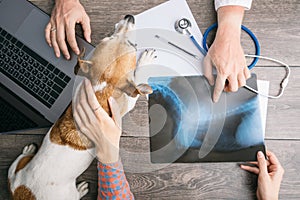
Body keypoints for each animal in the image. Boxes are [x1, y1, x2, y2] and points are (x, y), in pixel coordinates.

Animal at [8, 14, 156, 199]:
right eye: (132, 46)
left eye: (108, 38)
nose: (129, 17)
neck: (103, 85)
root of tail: (23, 192)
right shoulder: (129, 100)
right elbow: (137, 78)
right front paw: (145, 60)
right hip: (67, 194)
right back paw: (82, 189)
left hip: (16, 173)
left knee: (13, 170)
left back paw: (27, 151)